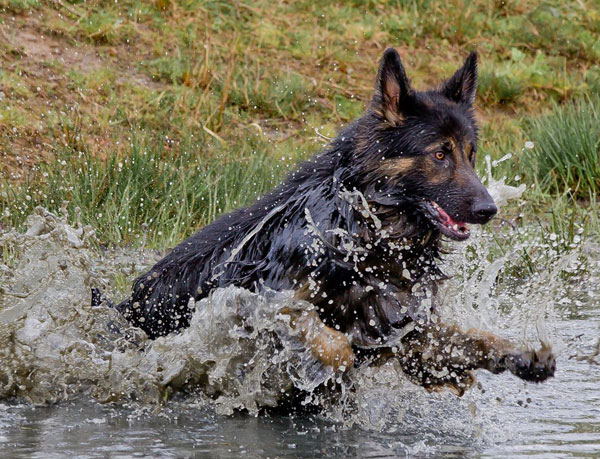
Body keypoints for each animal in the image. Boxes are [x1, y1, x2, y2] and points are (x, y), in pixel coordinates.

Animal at [94, 49, 556, 396]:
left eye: (471, 153)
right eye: (440, 154)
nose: (489, 210)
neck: (360, 223)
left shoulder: (403, 323)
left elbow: (468, 339)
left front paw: (520, 355)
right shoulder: (266, 300)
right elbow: (334, 344)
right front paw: (330, 368)